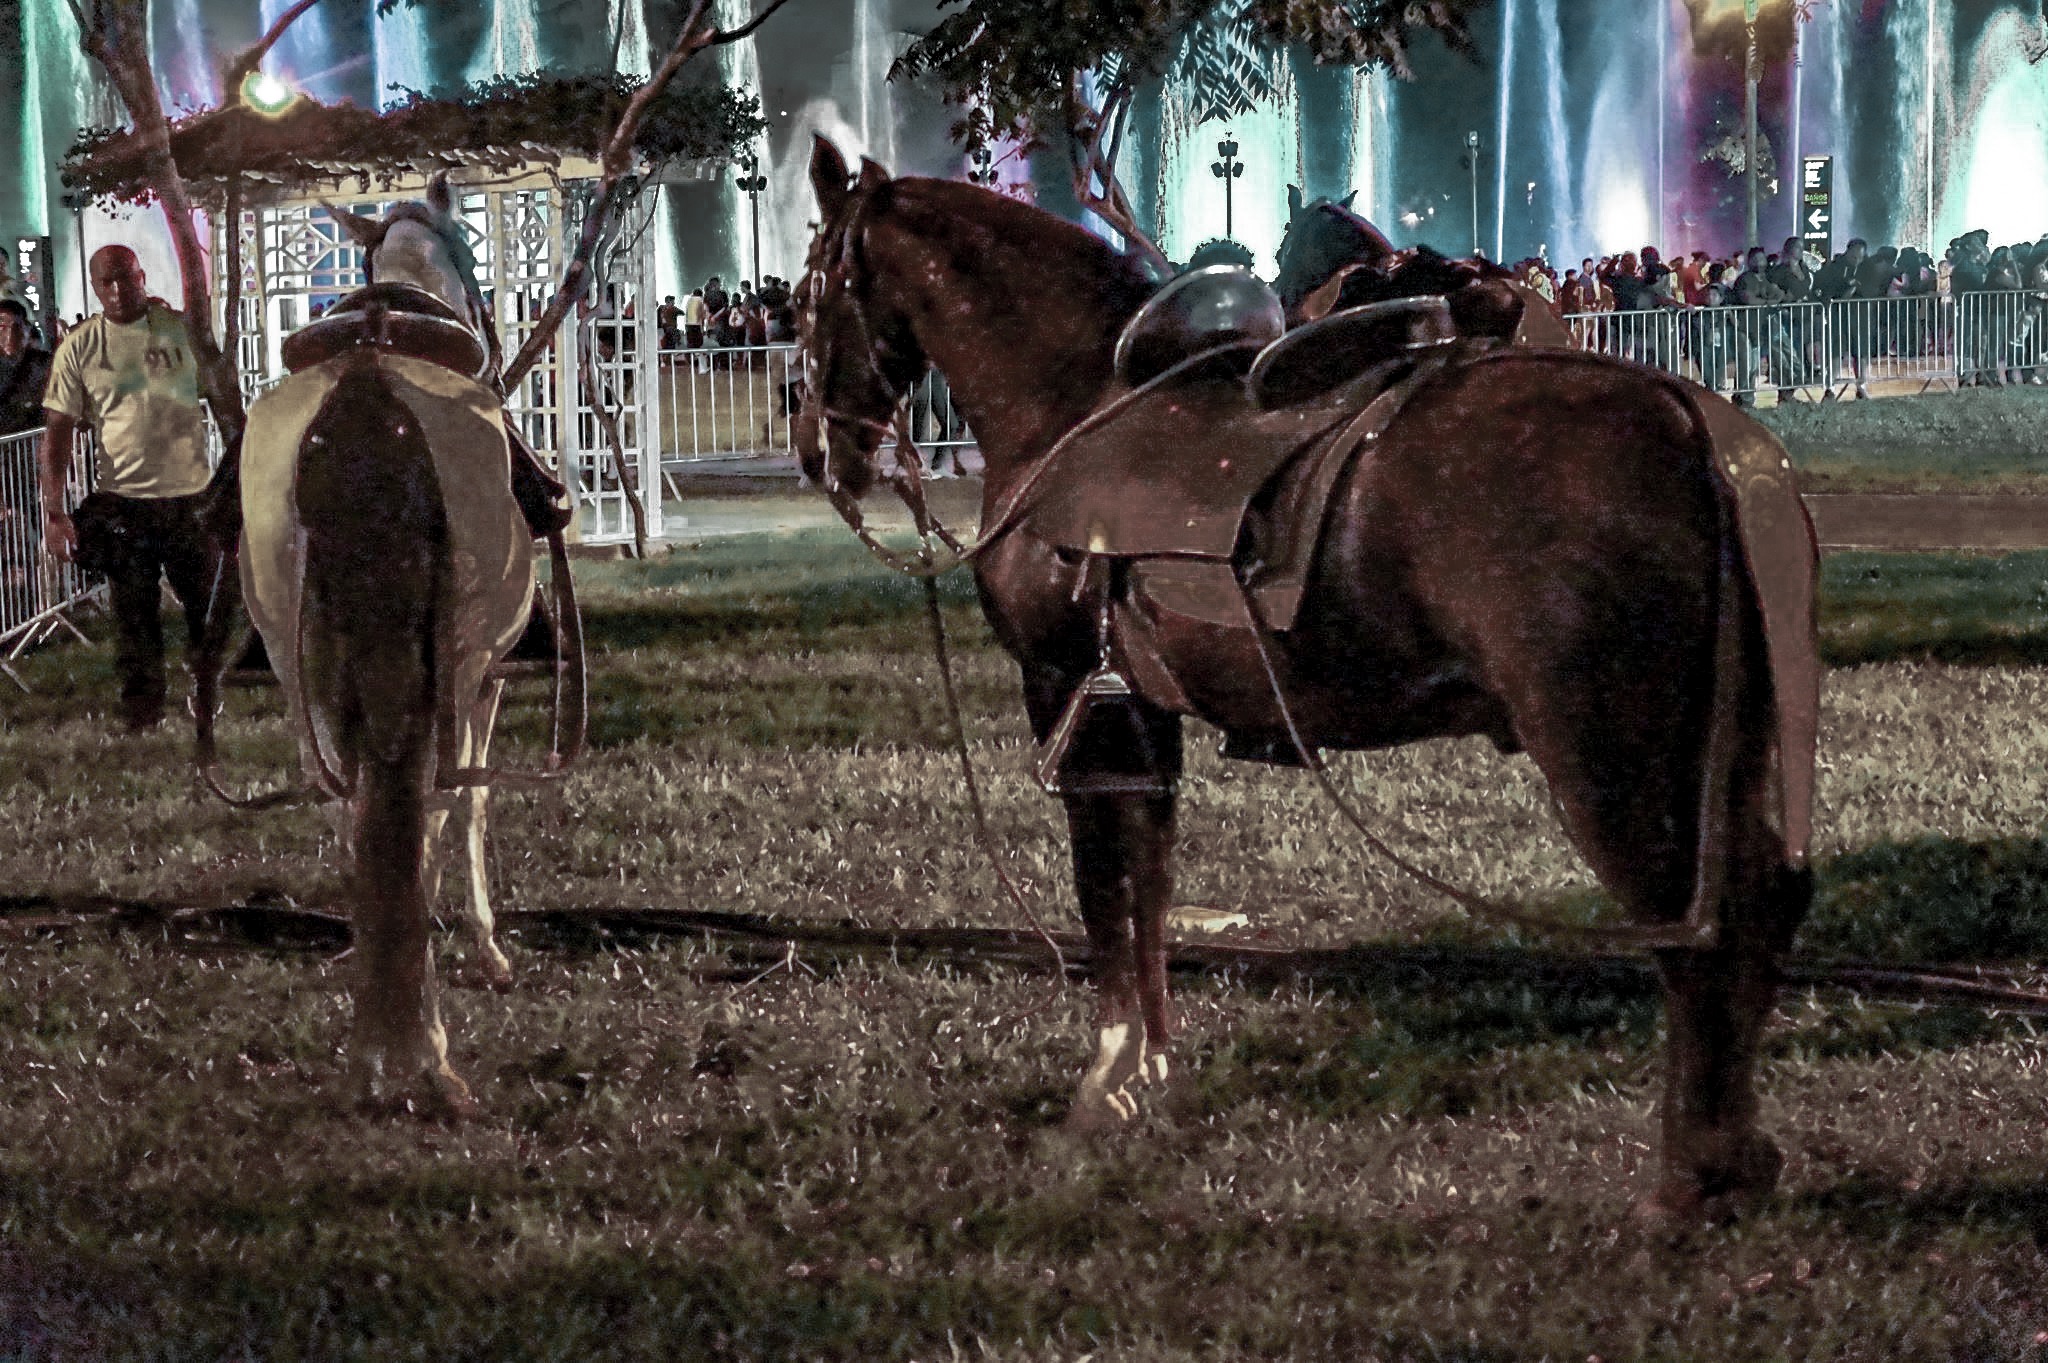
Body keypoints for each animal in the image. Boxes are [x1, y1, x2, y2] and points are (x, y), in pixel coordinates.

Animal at [236, 173, 543, 1110]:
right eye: (474, 255)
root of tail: (367, 382)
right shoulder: (488, 678)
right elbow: (472, 804)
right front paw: (486, 947)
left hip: (300, 671)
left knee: (348, 801)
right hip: (460, 661)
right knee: (434, 800)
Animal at [796, 137, 1820, 1218]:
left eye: (812, 283)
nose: (818, 449)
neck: (1073, 405)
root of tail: (1694, 423)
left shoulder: (1069, 692)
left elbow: (1101, 885)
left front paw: (1105, 1083)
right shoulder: (1140, 713)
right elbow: (1148, 883)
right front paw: (1151, 1071)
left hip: (1611, 758)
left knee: (1697, 926)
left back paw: (1694, 1172)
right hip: (1716, 743)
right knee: (1754, 904)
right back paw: (1734, 1154)